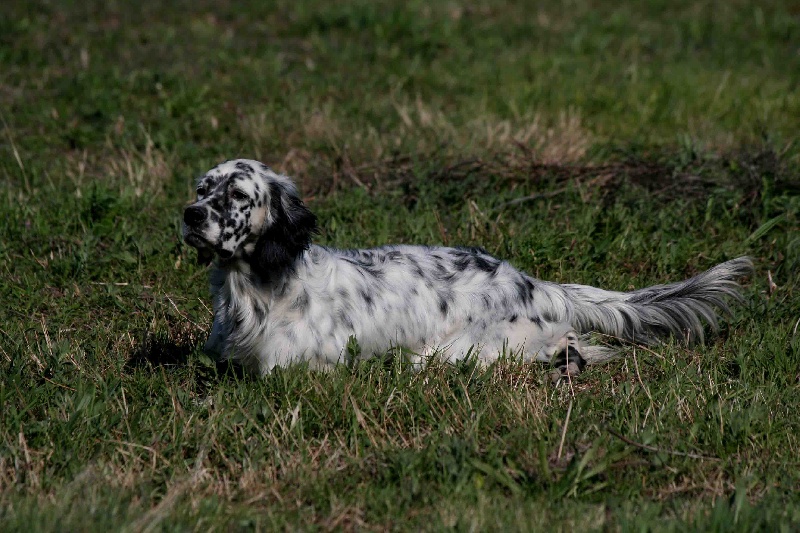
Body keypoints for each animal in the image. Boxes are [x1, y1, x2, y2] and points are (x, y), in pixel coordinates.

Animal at [181, 160, 752, 376]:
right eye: (202, 188)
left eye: (238, 194)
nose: (189, 214)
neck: (258, 290)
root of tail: (534, 283)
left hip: (455, 350)